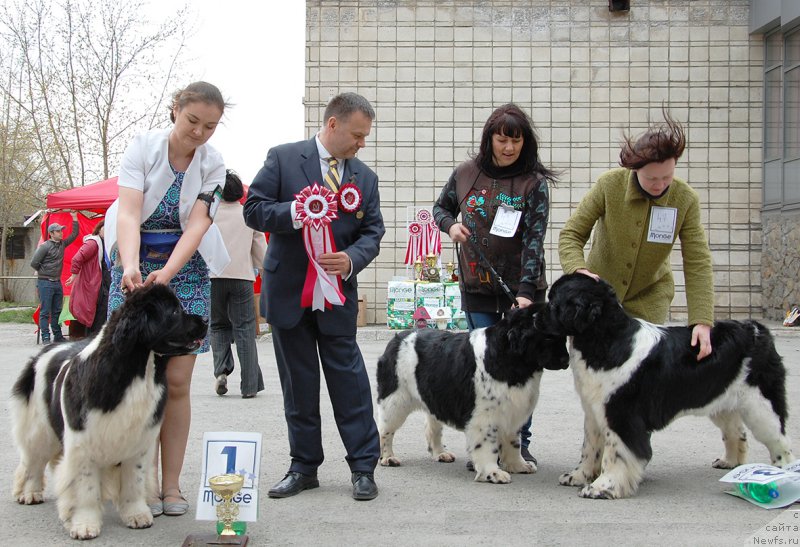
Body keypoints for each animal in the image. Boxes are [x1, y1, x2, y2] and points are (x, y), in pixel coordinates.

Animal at [11, 284, 206, 540]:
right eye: (174, 312)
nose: (205, 319)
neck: (136, 372)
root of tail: (49, 347)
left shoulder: (138, 440)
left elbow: (134, 480)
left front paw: (137, 515)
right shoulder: (83, 442)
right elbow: (85, 487)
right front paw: (85, 525)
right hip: (39, 426)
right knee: (33, 458)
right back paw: (30, 493)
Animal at [376, 308, 568, 484]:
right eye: (548, 337)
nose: (566, 360)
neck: (510, 359)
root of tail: (398, 338)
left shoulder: (512, 410)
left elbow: (514, 442)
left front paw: (518, 465)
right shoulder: (484, 416)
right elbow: (487, 446)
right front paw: (492, 473)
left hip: (434, 397)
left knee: (432, 428)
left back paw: (440, 453)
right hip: (394, 400)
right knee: (385, 430)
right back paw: (387, 458)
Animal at [536, 274, 792, 500]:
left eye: (554, 302)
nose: (535, 315)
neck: (605, 340)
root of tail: (757, 329)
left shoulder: (622, 416)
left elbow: (615, 454)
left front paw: (602, 487)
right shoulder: (595, 411)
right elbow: (590, 448)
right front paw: (578, 476)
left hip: (761, 405)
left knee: (780, 442)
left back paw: (781, 475)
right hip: (722, 400)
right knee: (736, 432)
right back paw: (730, 462)